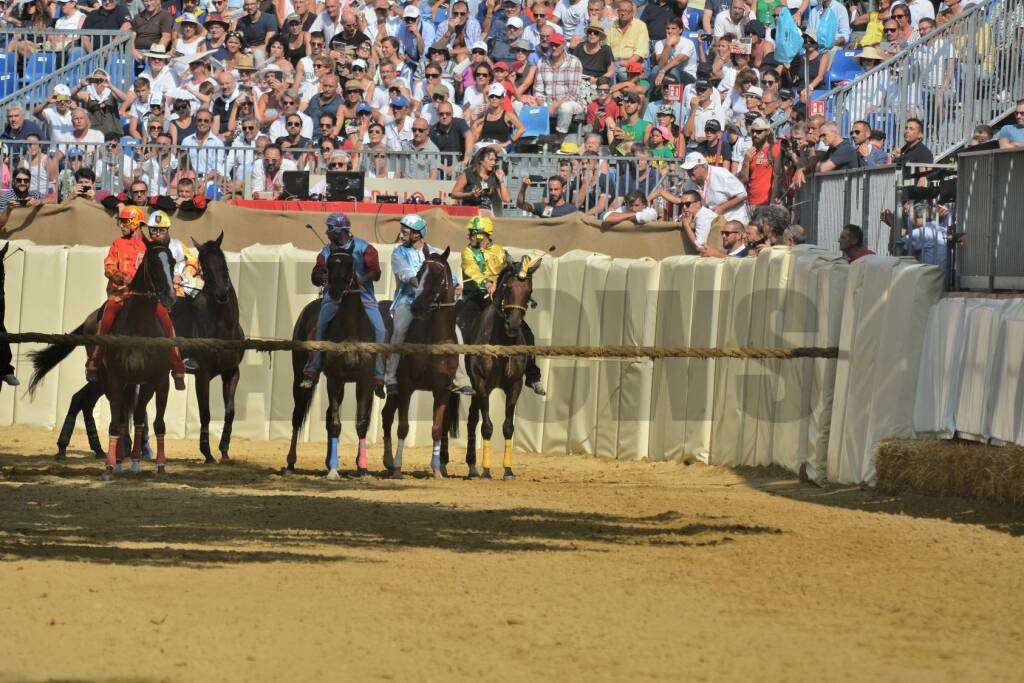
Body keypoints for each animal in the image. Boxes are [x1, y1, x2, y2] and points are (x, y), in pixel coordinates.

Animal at [284, 242, 376, 479]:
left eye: (350, 263)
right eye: (330, 264)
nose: (334, 290)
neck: (351, 332)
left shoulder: (365, 380)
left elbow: (361, 422)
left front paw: (363, 468)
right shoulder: (335, 378)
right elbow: (335, 423)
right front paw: (334, 470)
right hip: (300, 376)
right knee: (297, 415)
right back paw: (290, 464)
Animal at [382, 246, 458, 481]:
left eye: (437, 275)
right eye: (419, 272)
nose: (416, 307)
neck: (432, 342)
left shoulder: (443, 391)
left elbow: (436, 429)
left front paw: (437, 470)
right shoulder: (406, 386)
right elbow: (403, 427)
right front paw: (398, 468)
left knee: (386, 415)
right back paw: (389, 463)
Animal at [466, 255, 544, 481]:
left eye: (528, 290)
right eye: (508, 287)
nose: (513, 325)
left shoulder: (514, 385)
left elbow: (508, 427)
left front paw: (508, 470)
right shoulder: (482, 384)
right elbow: (486, 426)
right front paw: (486, 470)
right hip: (475, 387)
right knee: (473, 420)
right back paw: (473, 467)